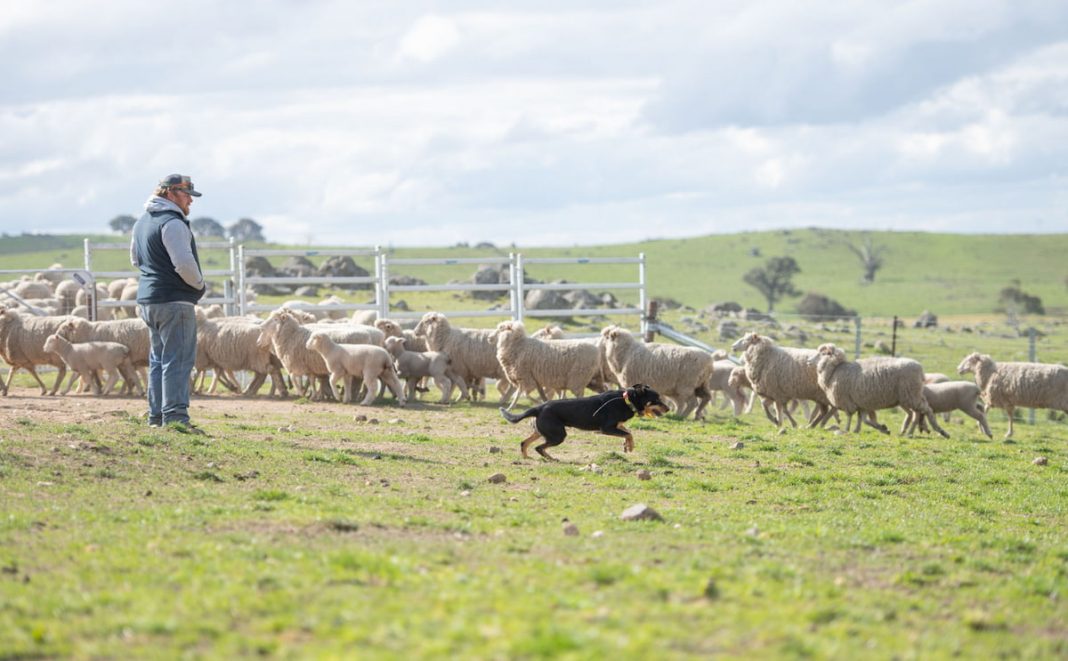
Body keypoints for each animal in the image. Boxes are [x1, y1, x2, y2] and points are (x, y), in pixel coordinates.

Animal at [499, 382, 666, 461]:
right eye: (656, 399)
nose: (668, 408)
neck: (626, 400)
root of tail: (539, 407)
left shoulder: (617, 426)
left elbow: (628, 433)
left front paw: (627, 446)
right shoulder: (606, 428)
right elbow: (628, 434)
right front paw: (629, 447)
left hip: (541, 431)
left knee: (524, 443)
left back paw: (526, 457)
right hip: (558, 435)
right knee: (539, 447)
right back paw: (551, 458)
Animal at [811, 341, 948, 439]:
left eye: (821, 353)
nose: (809, 360)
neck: (834, 370)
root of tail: (919, 368)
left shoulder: (847, 401)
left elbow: (851, 416)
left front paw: (847, 429)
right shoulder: (861, 403)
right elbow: (864, 419)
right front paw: (874, 428)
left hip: (911, 394)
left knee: (927, 410)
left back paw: (941, 431)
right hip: (909, 396)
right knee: (916, 413)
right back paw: (908, 432)